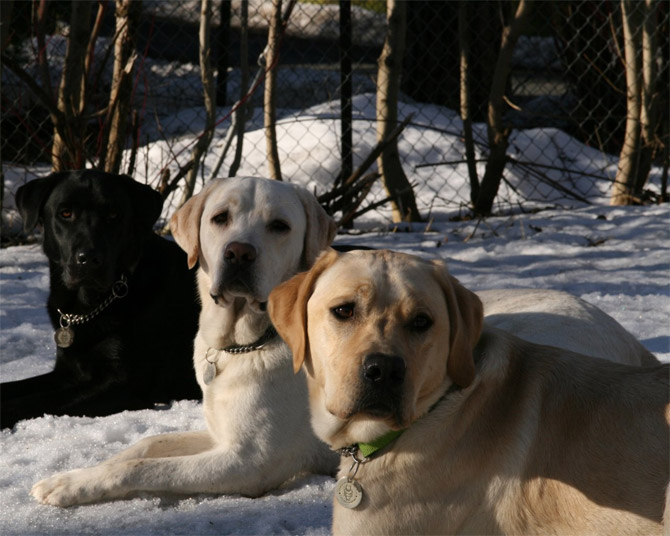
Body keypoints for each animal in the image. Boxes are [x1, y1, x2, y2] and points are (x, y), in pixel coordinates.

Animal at [1, 170, 202, 430]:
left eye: (113, 216)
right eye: (65, 213)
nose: (89, 258)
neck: (89, 304)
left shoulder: (122, 384)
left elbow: (38, 400)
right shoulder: (67, 371)